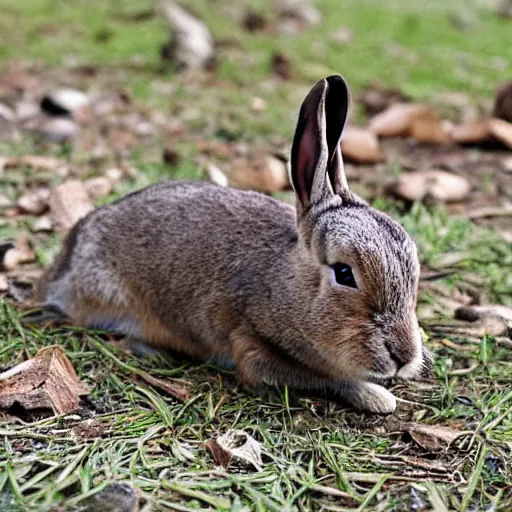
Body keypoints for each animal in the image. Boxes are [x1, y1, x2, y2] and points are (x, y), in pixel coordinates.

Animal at [35, 75, 432, 412]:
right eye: (345, 274)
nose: (404, 357)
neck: (281, 283)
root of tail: (64, 263)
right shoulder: (253, 347)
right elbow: (324, 377)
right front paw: (377, 396)